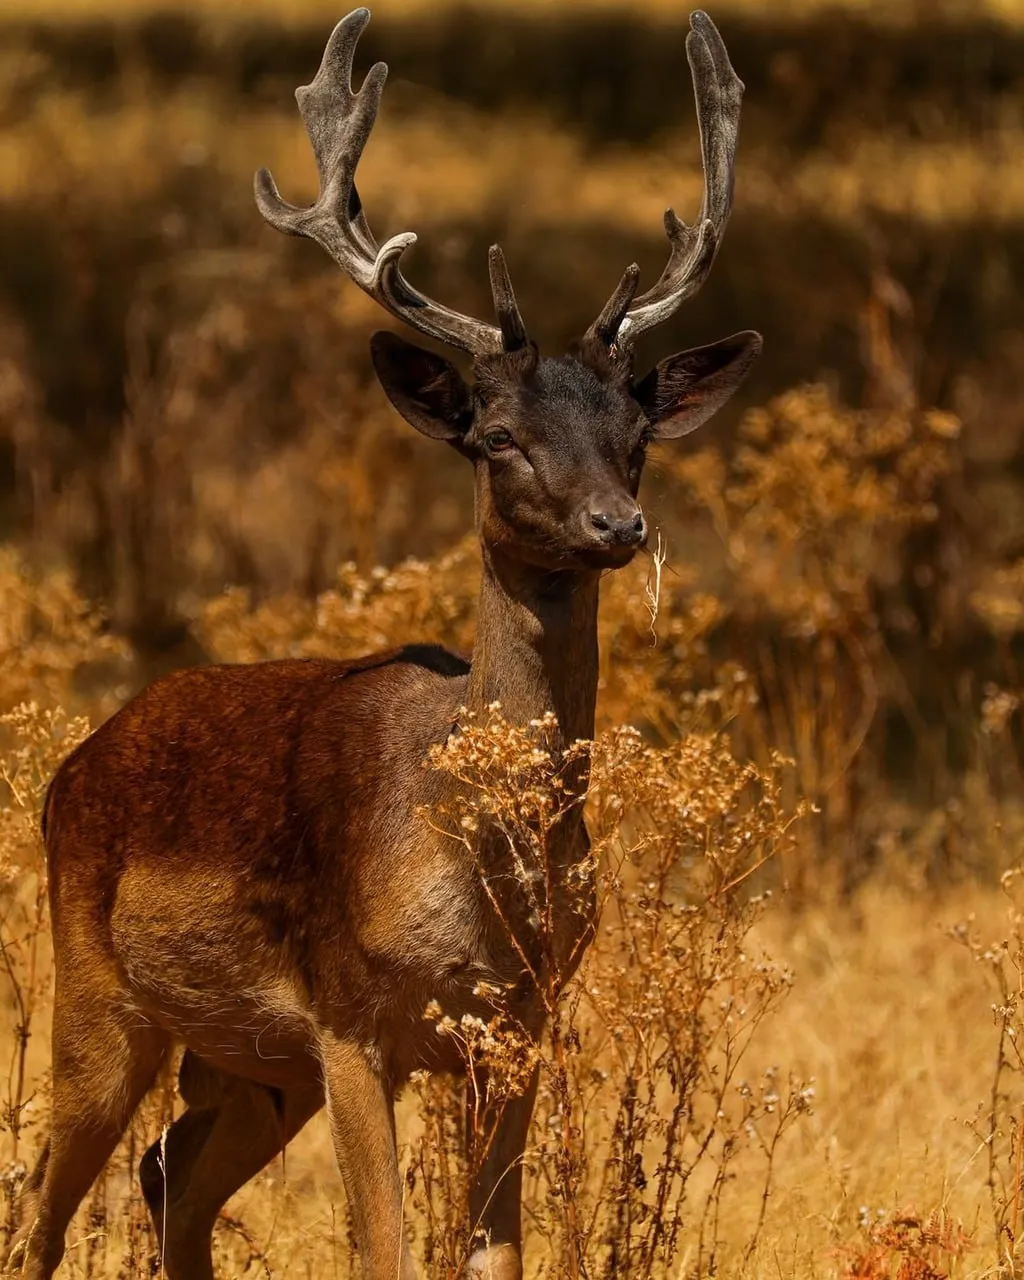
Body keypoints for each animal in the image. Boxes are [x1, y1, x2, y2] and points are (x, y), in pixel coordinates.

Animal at [5, 8, 760, 1279]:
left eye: (637, 432)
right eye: (496, 435)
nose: (617, 523)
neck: (478, 858)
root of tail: (73, 761)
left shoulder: (520, 1022)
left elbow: (493, 1250)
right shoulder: (350, 1011)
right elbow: (386, 1248)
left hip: (255, 1066)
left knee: (170, 1176)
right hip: (97, 984)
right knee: (39, 1207)